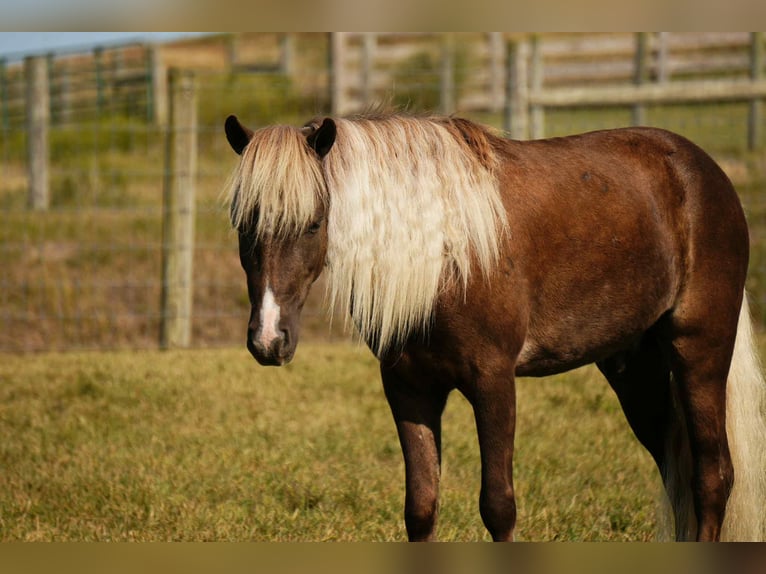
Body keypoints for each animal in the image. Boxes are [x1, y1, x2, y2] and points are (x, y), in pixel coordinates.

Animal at [223, 111, 766, 541]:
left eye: (314, 223)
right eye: (242, 224)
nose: (268, 340)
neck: (442, 258)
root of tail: (705, 171)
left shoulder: (494, 382)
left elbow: (498, 505)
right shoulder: (409, 388)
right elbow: (421, 507)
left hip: (699, 351)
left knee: (712, 477)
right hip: (636, 369)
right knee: (677, 470)